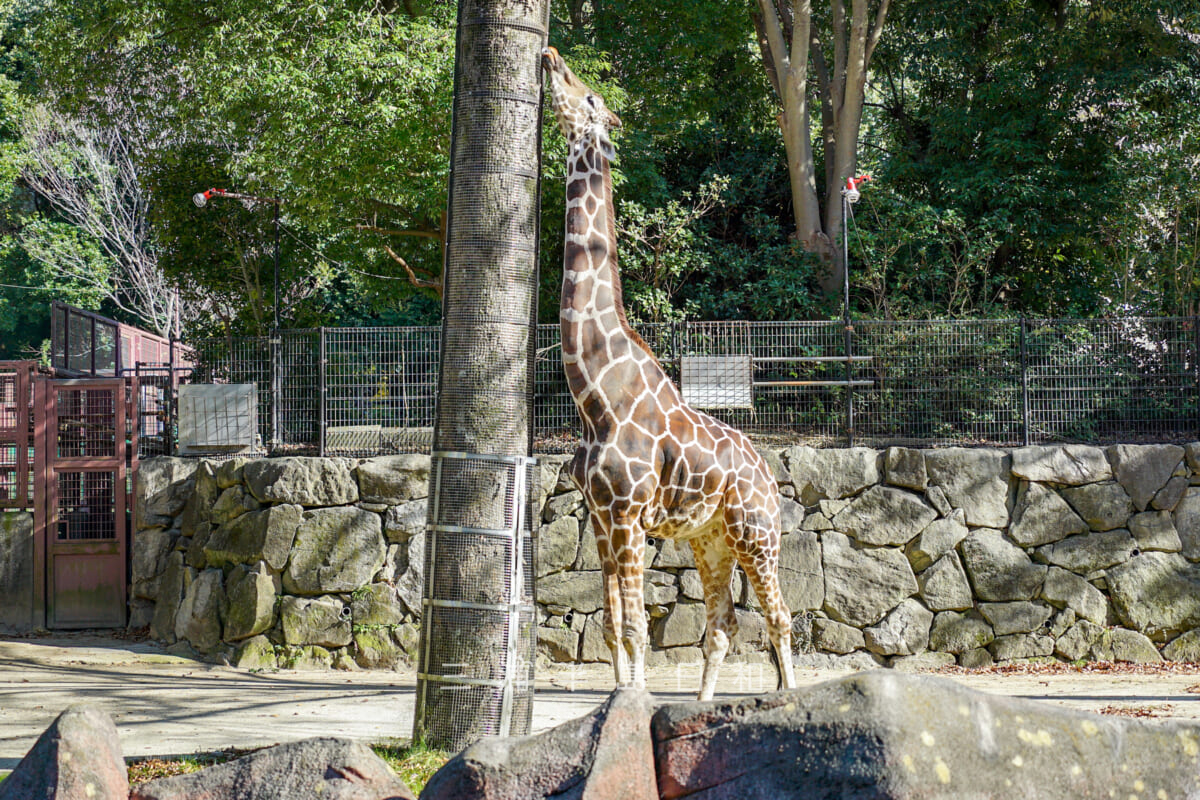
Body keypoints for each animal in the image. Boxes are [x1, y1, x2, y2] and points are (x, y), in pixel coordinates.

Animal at [544, 48, 796, 700]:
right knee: (723, 624)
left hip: (757, 535)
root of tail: (770, 472)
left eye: (589, 97)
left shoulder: (629, 515)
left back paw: (789, 699)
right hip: (710, 541)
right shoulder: (600, 518)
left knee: (779, 617)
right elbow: (612, 629)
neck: (595, 395)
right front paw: (621, 707)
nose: (549, 55)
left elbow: (636, 630)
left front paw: (633, 704)